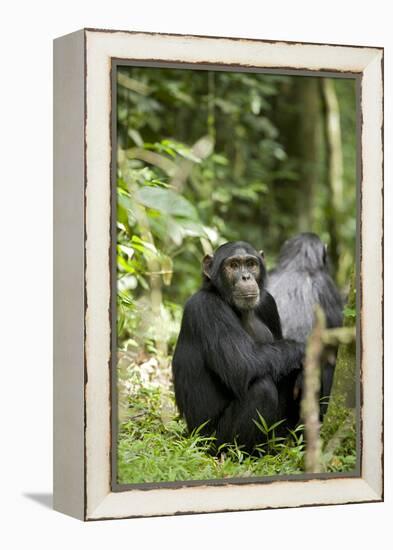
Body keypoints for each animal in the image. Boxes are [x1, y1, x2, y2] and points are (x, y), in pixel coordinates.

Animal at [170, 242, 302, 452]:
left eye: (250, 264)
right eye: (233, 266)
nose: (246, 277)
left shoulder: (269, 303)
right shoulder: (208, 308)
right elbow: (241, 365)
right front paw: (308, 349)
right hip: (212, 443)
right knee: (261, 389)